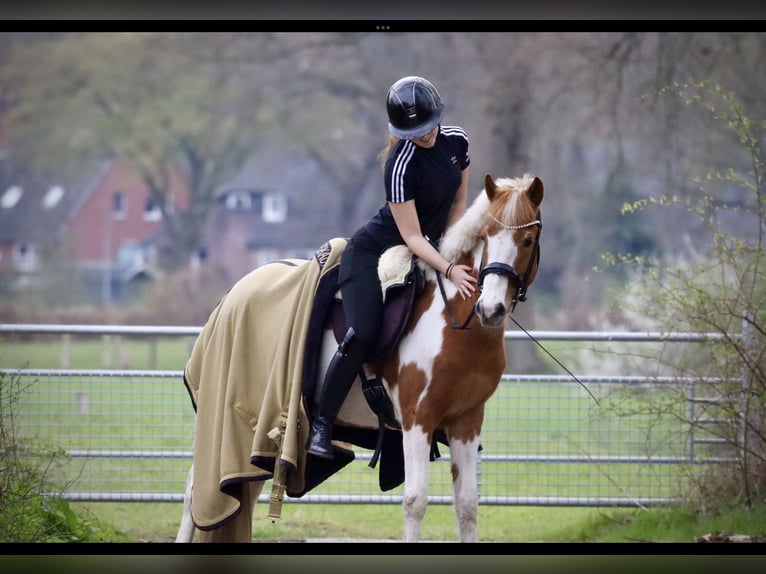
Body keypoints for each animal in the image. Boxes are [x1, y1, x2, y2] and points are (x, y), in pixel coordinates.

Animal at [176, 172, 543, 543]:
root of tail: (233, 295)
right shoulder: (417, 419)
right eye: (486, 236)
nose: (490, 309)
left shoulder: (466, 421)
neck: (453, 323)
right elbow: (415, 502)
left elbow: (467, 506)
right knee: (196, 489)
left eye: (527, 241)